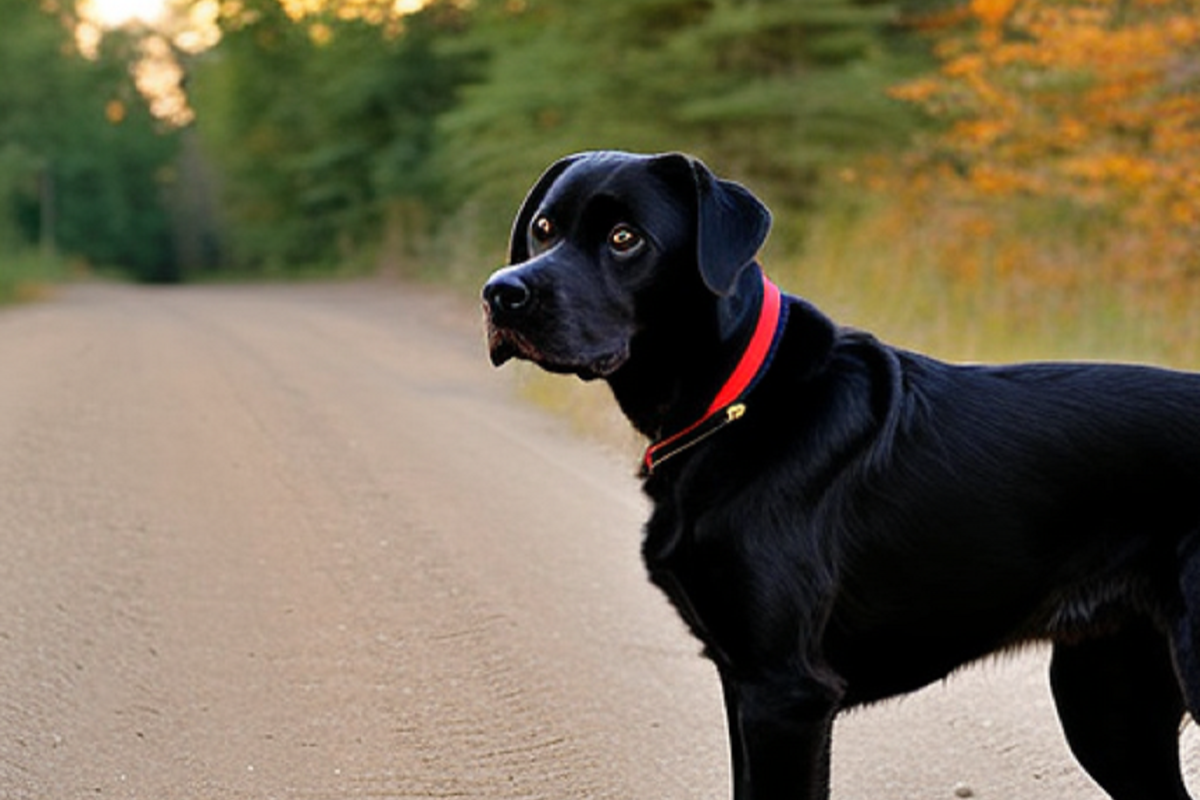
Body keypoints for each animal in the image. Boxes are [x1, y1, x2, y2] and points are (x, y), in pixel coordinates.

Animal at [480, 151, 1200, 800]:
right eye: (543, 229)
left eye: (625, 239)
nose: (501, 293)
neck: (738, 399)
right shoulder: (745, 681)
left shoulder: (786, 693)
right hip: (1108, 697)